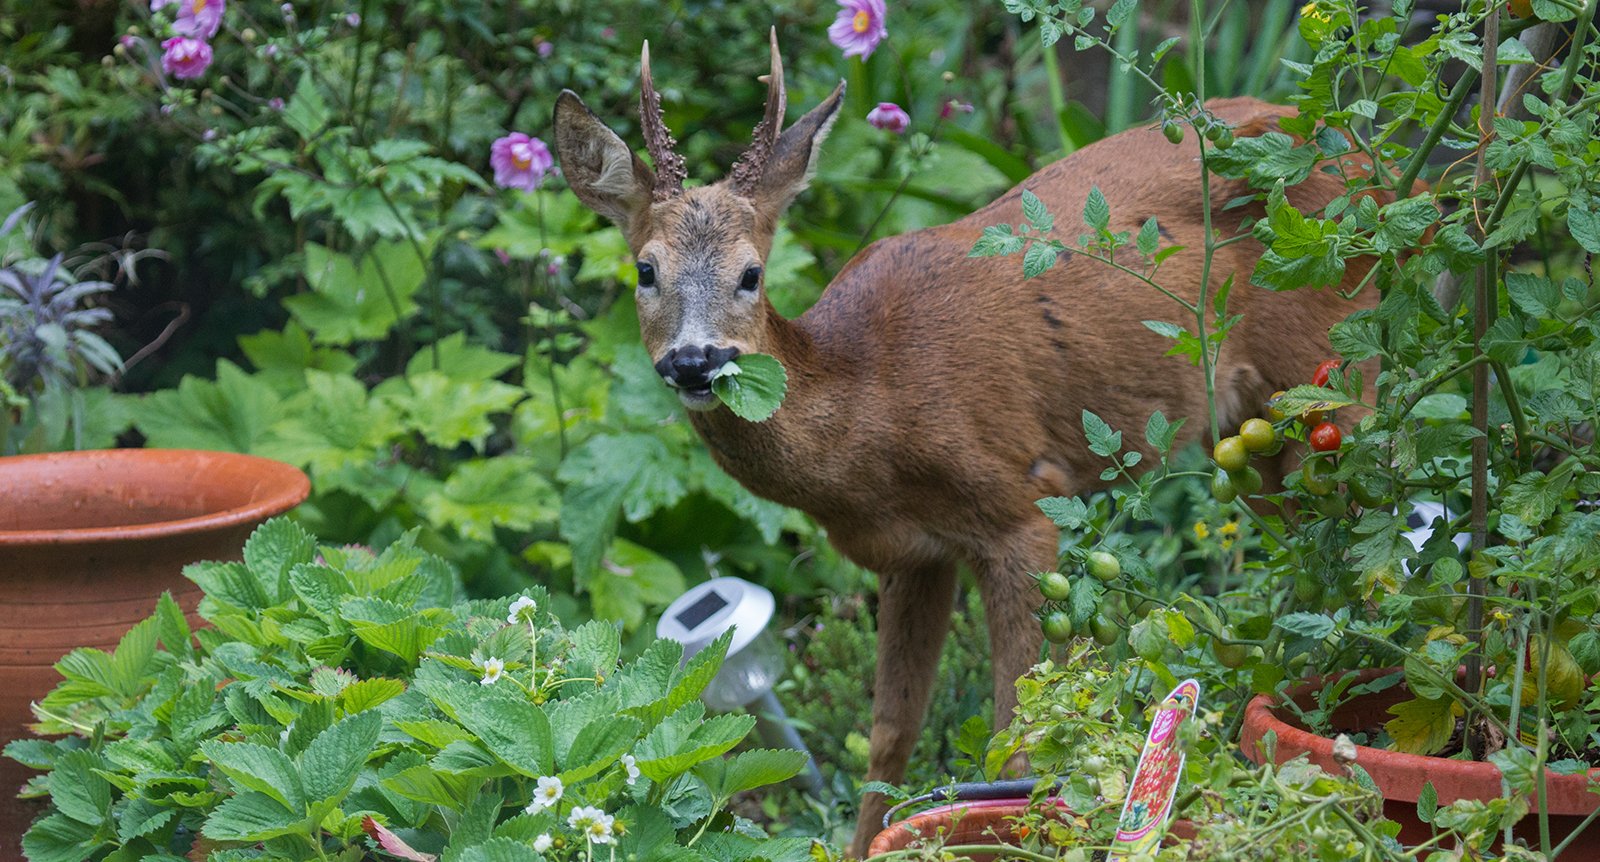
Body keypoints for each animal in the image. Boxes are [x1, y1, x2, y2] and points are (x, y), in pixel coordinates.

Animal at [553, 30, 1376, 850]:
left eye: (751, 274)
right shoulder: (909, 554)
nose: (695, 361)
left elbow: (1019, 730)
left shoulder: (1021, 508)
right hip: (1247, 433)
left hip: (1334, 372)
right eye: (645, 269)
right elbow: (890, 731)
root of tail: (1368, 156)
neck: (874, 404)